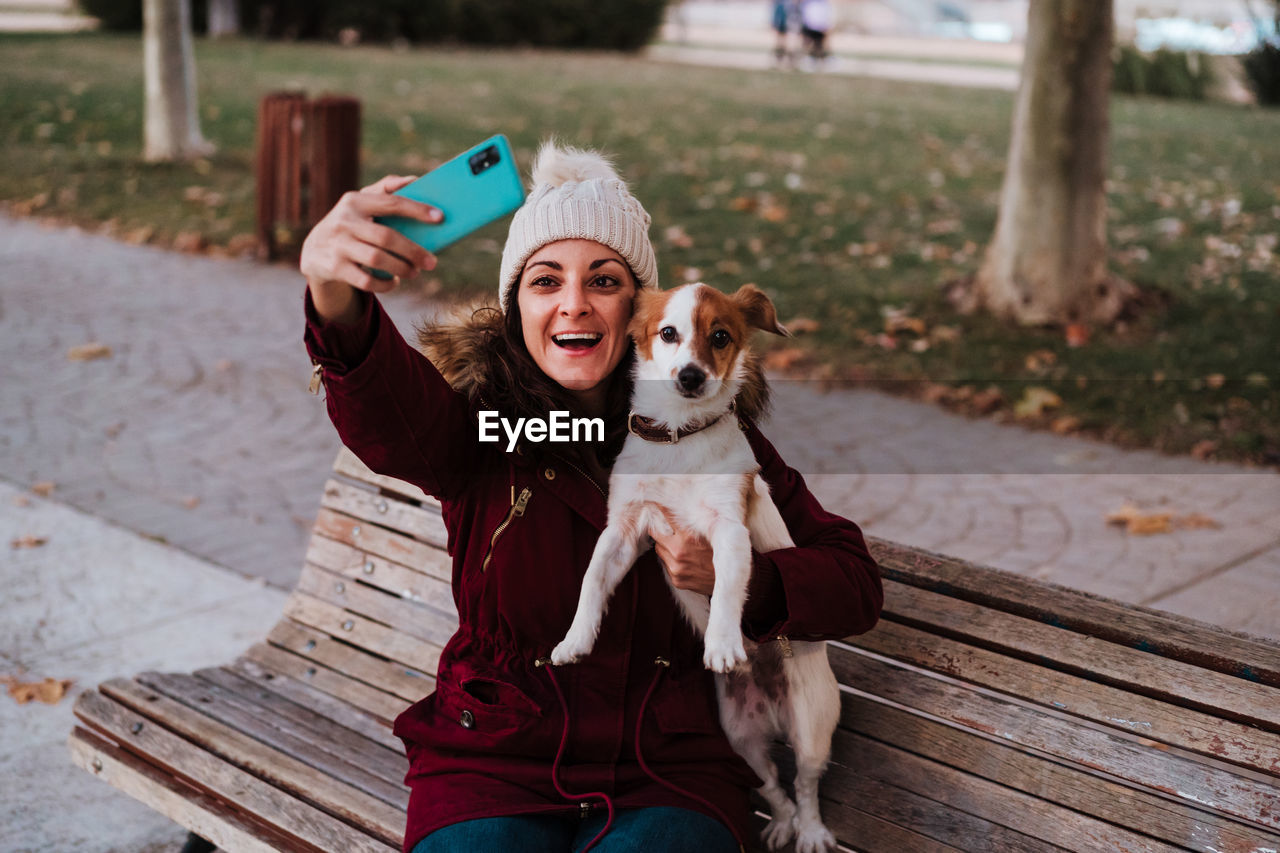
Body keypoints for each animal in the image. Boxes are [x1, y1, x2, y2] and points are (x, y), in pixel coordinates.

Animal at [547, 280, 839, 850]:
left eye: (720, 337)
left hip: (812, 724)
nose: (690, 376)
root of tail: (772, 708)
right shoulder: (624, 532)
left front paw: (723, 643)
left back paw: (812, 831)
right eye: (667, 333)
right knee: (774, 787)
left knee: (806, 783)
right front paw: (575, 638)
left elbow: (726, 589)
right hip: (739, 736)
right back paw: (782, 823)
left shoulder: (728, 531)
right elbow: (592, 580)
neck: (680, 439)